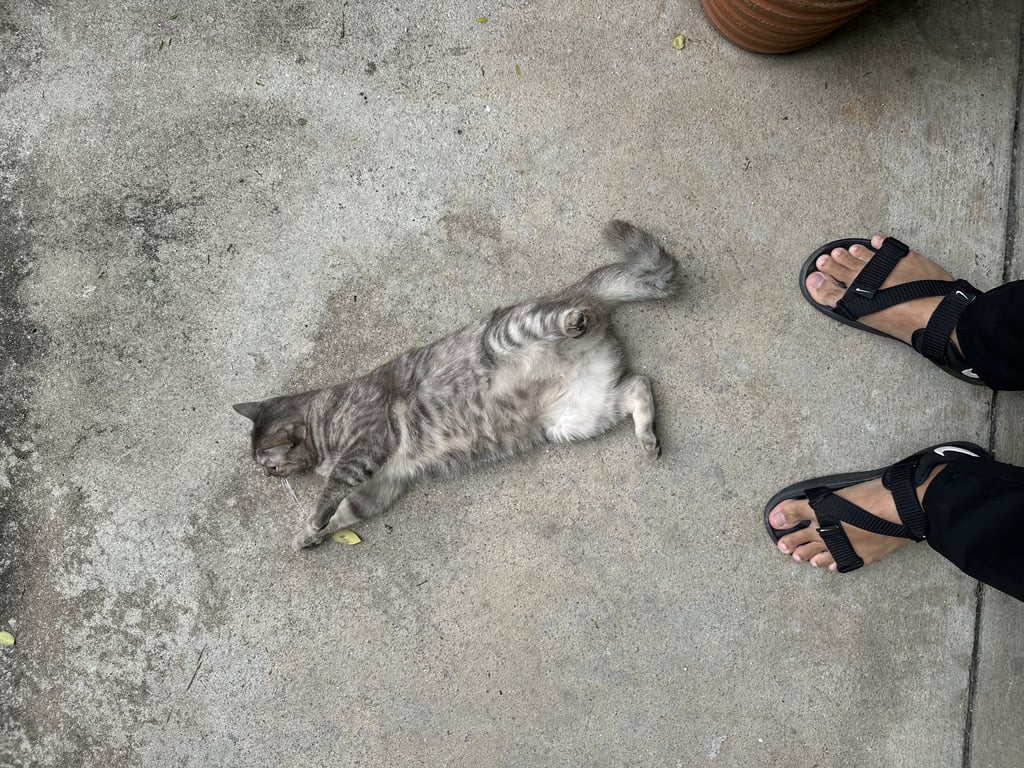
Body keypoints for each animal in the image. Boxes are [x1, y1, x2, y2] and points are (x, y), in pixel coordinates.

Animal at [233, 220, 681, 550]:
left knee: (570, 323)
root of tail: (581, 294)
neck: (323, 416)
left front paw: (312, 519)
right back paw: (647, 439)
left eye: (270, 466)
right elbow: (344, 512)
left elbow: (330, 493)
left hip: (513, 332)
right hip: (577, 418)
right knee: (640, 384)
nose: (270, 478)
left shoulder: (364, 446)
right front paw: (310, 535)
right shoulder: (379, 486)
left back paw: (574, 321)